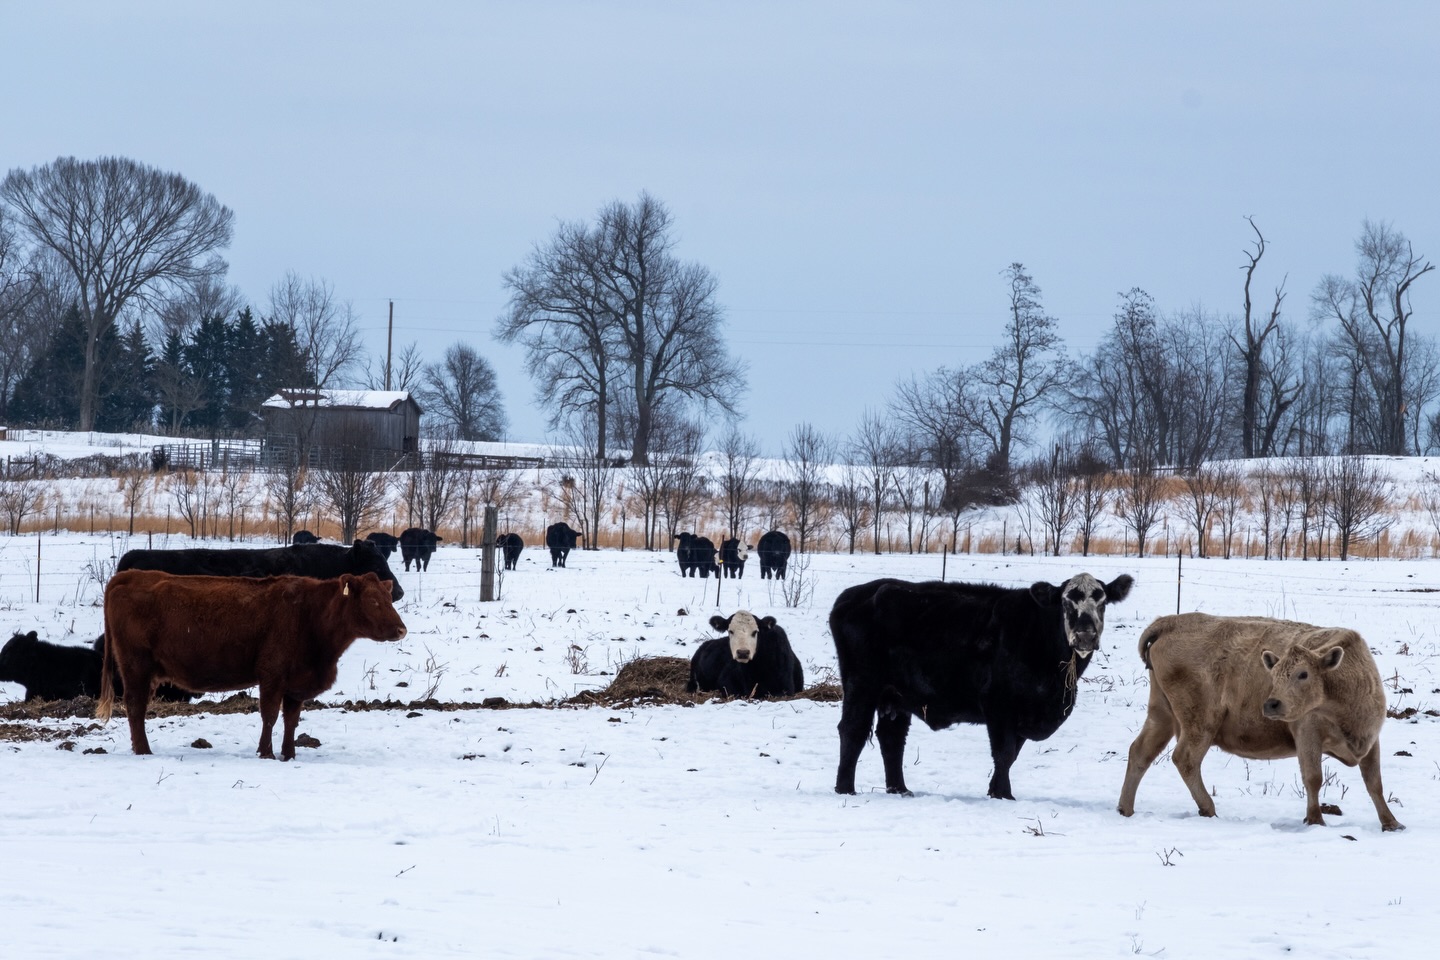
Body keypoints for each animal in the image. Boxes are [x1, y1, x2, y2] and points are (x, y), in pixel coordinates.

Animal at [99, 571, 407, 760]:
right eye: (373, 600)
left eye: (389, 598)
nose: (401, 630)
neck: (310, 615)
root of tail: (130, 574)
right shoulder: (272, 674)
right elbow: (269, 715)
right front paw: (266, 753)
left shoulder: (296, 684)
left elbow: (291, 720)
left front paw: (289, 754)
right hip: (136, 666)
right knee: (135, 707)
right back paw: (143, 751)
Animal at [830, 572, 1134, 799]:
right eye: (1065, 602)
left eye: (1102, 602)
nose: (1085, 635)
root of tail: (855, 594)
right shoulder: (999, 704)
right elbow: (1004, 753)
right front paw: (1003, 794)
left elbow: (1013, 755)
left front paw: (995, 790)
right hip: (862, 683)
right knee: (853, 730)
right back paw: (845, 789)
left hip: (895, 695)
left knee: (892, 738)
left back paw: (900, 790)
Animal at [1117, 613, 1404, 831]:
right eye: (1273, 676)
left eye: (1303, 674)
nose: (1271, 703)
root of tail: (1171, 621)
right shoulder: (1307, 734)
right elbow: (1313, 778)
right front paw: (1315, 820)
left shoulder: (1370, 739)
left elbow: (1374, 783)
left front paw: (1391, 823)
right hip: (1200, 723)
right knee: (1185, 759)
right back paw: (1208, 808)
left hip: (1161, 715)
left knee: (1141, 752)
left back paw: (1125, 808)